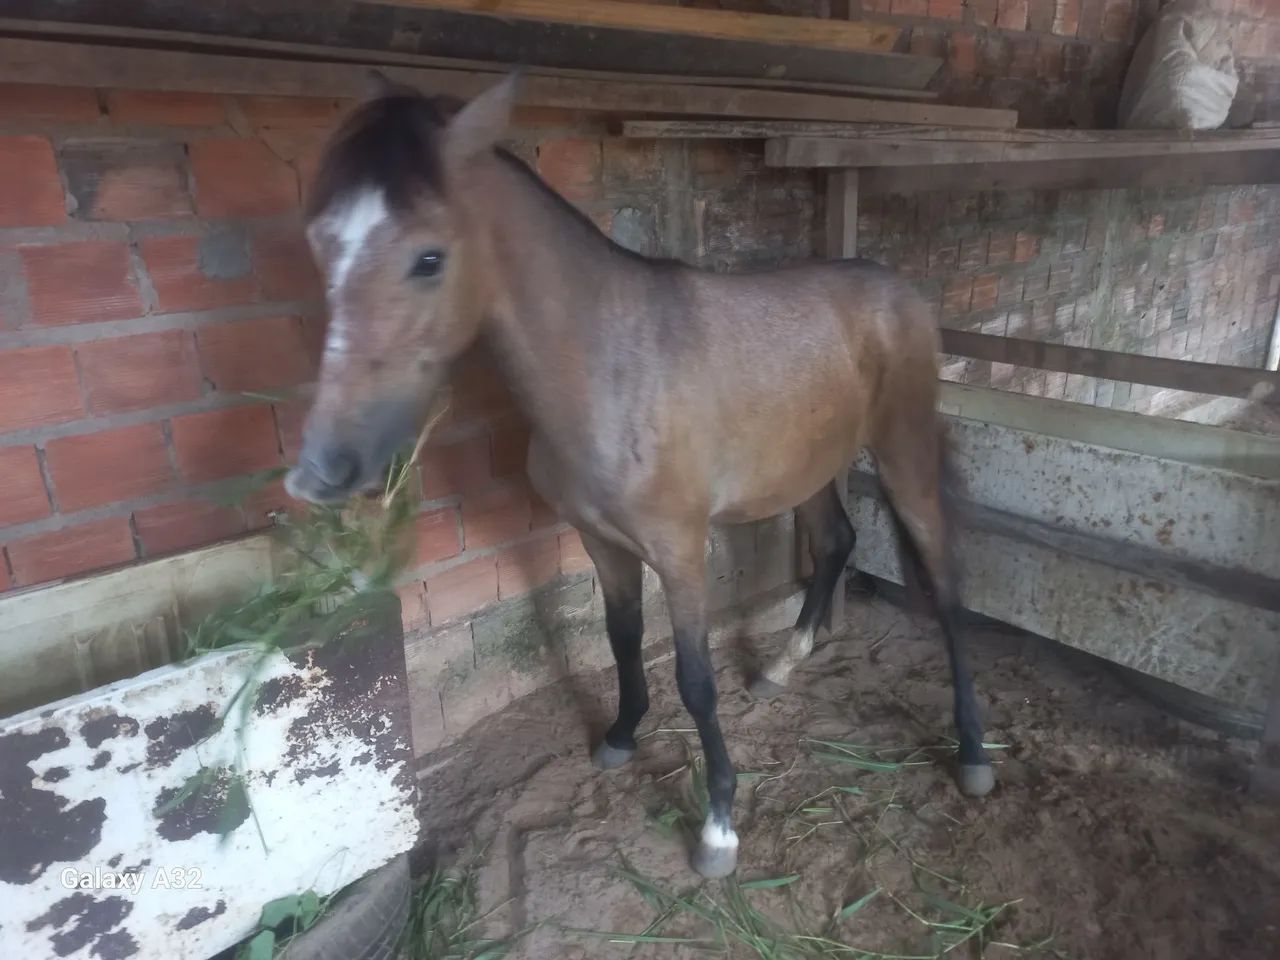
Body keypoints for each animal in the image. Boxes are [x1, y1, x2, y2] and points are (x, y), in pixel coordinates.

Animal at [284, 73, 994, 879]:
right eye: (321, 245)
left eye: (428, 259)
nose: (321, 471)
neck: (612, 366)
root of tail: (896, 290)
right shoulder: (602, 542)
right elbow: (622, 637)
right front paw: (621, 735)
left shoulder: (679, 551)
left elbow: (696, 680)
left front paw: (718, 826)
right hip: (807, 466)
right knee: (836, 541)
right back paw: (781, 669)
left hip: (904, 455)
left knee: (945, 583)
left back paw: (973, 753)